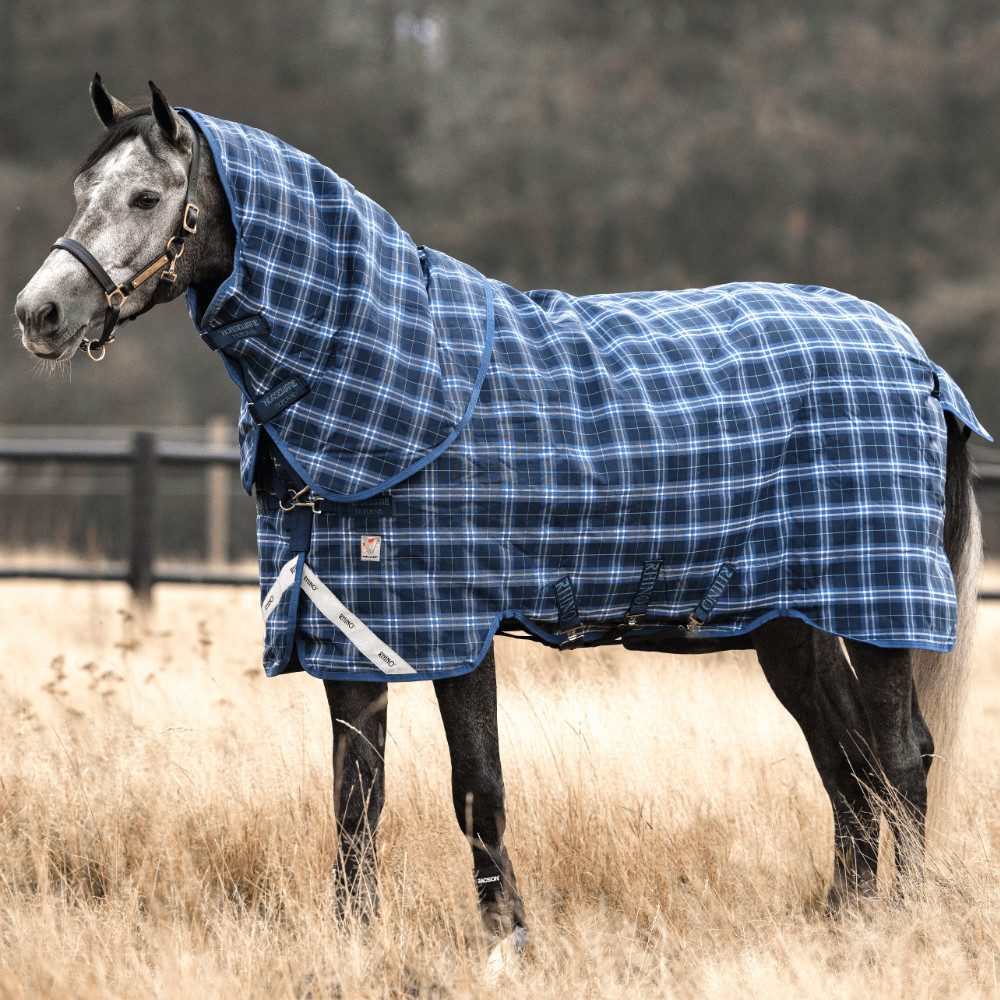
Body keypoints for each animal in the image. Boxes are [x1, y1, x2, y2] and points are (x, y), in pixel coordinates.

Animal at [14, 76, 986, 963]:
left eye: (146, 198)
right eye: (81, 190)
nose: (39, 314)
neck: (395, 375)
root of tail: (919, 362)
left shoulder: (456, 628)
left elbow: (476, 787)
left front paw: (507, 941)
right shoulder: (351, 626)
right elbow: (355, 795)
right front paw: (353, 939)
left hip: (878, 604)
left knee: (901, 757)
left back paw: (900, 926)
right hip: (794, 622)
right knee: (848, 766)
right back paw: (845, 925)